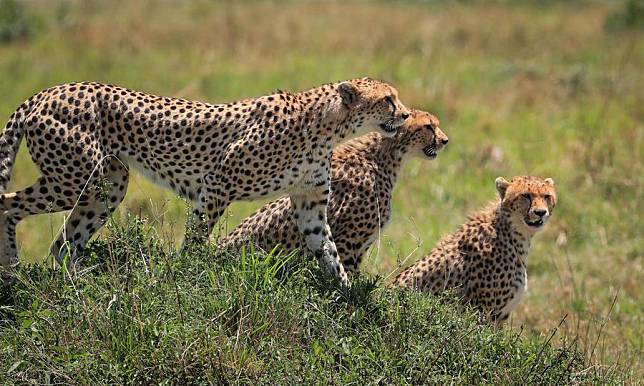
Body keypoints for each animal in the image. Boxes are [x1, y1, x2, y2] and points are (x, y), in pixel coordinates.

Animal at [0, 77, 410, 286]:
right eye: (389, 99)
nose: (406, 115)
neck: (328, 126)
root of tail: (50, 90)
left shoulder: (309, 203)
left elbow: (328, 251)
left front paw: (347, 294)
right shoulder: (217, 183)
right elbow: (196, 239)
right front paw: (186, 275)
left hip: (107, 184)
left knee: (63, 243)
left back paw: (79, 287)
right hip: (72, 178)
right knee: (7, 205)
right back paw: (11, 271)